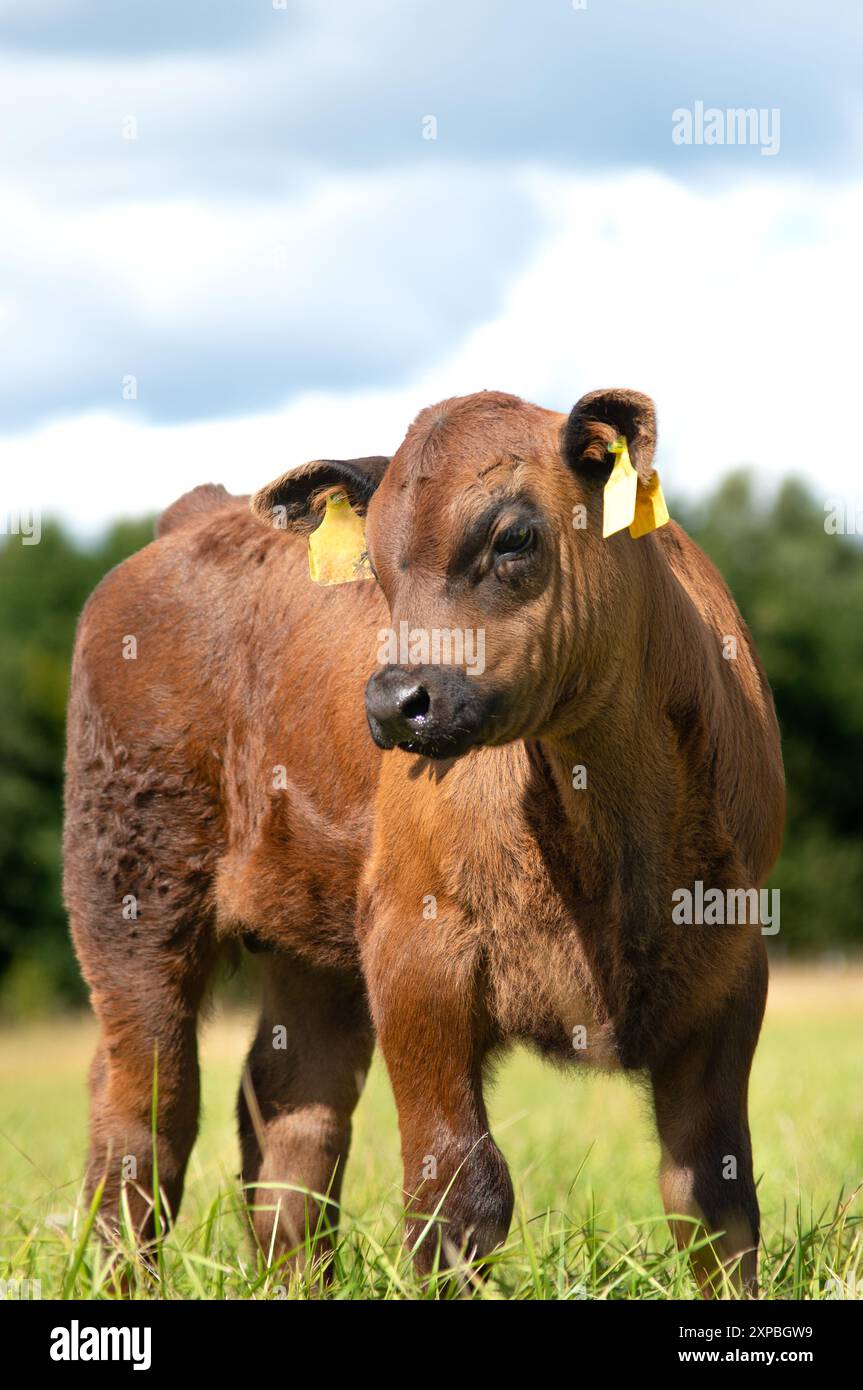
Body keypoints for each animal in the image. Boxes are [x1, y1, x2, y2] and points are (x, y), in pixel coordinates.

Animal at [63, 388, 784, 1294]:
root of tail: (193, 516)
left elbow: (713, 1196)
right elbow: (457, 1191)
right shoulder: (415, 948)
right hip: (129, 886)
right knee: (145, 1104)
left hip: (311, 936)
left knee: (292, 1108)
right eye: (374, 565)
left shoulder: (729, 965)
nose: (394, 700)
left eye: (514, 537)